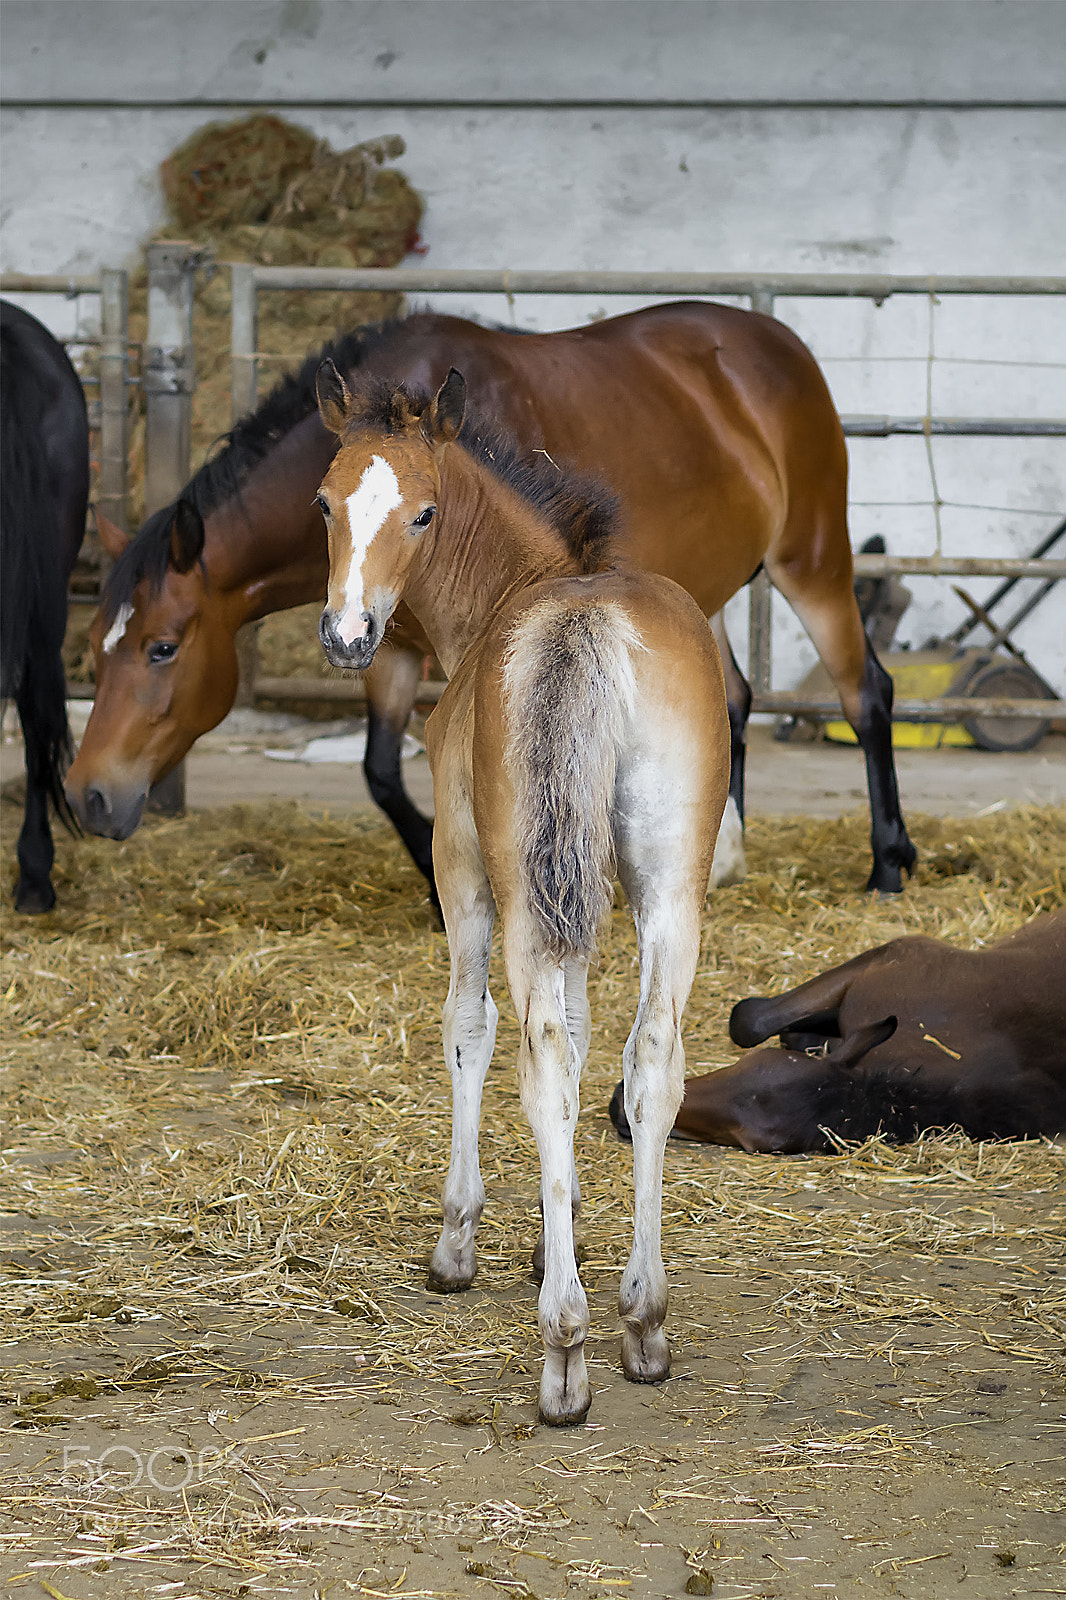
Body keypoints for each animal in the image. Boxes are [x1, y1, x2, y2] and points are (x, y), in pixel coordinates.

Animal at [65, 304, 915, 897]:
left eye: (163, 647)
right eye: (94, 648)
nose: (87, 797)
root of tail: (776, 341)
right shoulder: (391, 643)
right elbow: (380, 769)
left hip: (810, 561)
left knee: (865, 691)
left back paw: (888, 863)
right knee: (732, 700)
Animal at [315, 363, 729, 1424]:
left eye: (422, 512)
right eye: (325, 502)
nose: (348, 635)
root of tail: (587, 624)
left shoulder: (462, 870)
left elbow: (471, 1028)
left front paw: (458, 1243)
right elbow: (588, 1042)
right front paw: (560, 1233)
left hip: (516, 887)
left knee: (538, 1056)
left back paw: (566, 1354)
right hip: (670, 886)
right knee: (651, 1060)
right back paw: (642, 1322)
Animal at [609, 911, 1066, 1151]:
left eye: (747, 1140)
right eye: (751, 1064)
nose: (620, 1105)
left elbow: (752, 1020)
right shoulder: (895, 956)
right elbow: (749, 1021)